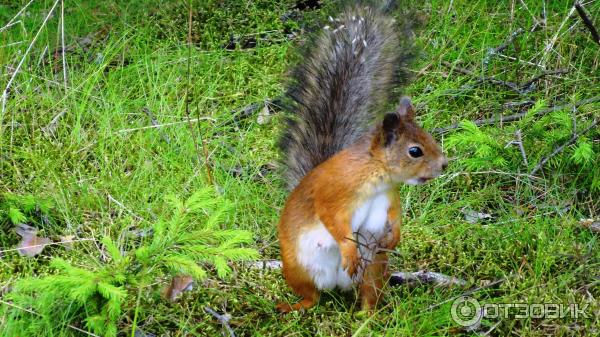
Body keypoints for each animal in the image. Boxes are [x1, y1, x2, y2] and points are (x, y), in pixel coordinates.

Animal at [276, 2, 446, 312]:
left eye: (430, 137)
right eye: (415, 150)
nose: (444, 164)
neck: (377, 175)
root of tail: (335, 285)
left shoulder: (390, 195)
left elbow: (395, 215)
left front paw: (396, 236)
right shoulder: (334, 191)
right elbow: (332, 219)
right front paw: (348, 248)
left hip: (373, 267)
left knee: (368, 292)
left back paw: (368, 315)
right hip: (297, 267)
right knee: (311, 296)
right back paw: (296, 306)